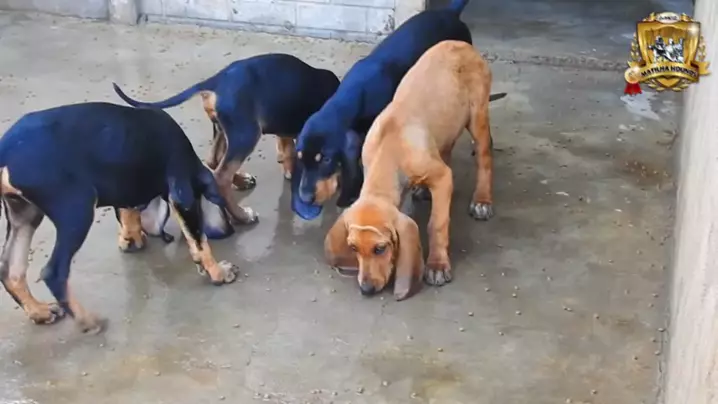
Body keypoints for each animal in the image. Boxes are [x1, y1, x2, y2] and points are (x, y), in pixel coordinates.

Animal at [0, 102, 239, 333]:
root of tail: (5, 151)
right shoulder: (182, 189)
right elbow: (198, 241)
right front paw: (218, 272)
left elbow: (129, 213)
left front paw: (130, 238)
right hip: (76, 209)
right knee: (54, 272)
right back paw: (87, 321)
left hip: (24, 214)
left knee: (10, 269)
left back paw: (39, 312)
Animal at [112, 53, 340, 225]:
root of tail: (216, 81)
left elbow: (288, 148)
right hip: (245, 134)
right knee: (221, 175)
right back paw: (242, 216)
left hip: (222, 129)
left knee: (214, 160)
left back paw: (242, 181)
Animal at [323, 41, 506, 300]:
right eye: (353, 247)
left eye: (380, 248)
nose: (366, 289)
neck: (389, 150)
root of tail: (461, 44)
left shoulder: (443, 178)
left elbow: (436, 223)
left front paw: (437, 265)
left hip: (477, 114)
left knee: (484, 157)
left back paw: (482, 200)